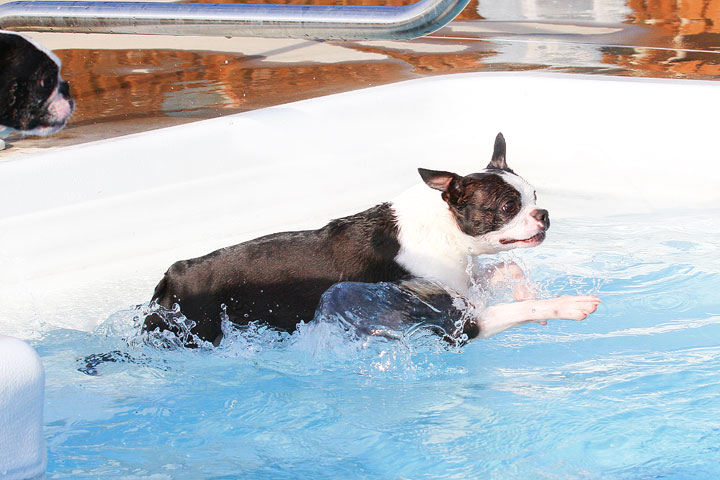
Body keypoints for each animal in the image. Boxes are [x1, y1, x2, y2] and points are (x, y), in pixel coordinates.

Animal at [143, 132, 600, 344]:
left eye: (535, 197)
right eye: (508, 207)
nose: (543, 215)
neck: (441, 230)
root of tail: (174, 274)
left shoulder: (462, 281)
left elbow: (505, 266)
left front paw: (528, 293)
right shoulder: (455, 325)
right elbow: (517, 306)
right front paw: (565, 305)